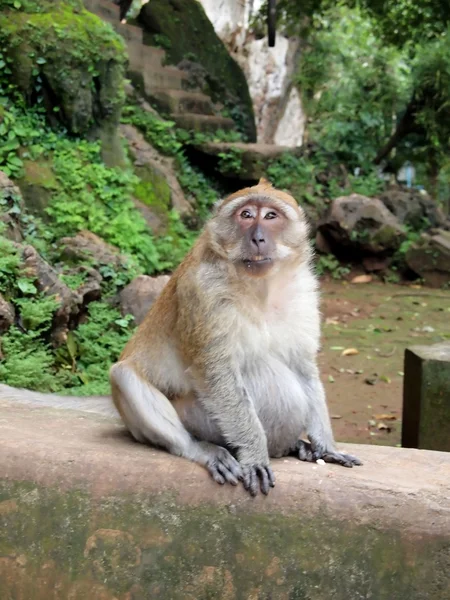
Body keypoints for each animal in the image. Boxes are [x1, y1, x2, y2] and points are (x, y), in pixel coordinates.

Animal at [0, 178, 360, 496]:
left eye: (271, 216)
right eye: (246, 215)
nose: (258, 238)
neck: (260, 287)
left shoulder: (303, 292)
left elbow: (303, 366)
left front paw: (326, 445)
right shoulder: (203, 292)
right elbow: (215, 373)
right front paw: (255, 453)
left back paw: (294, 445)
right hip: (196, 419)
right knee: (125, 377)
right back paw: (203, 449)